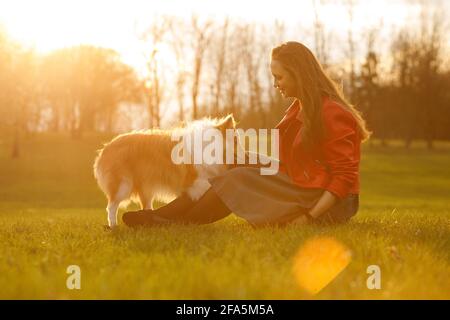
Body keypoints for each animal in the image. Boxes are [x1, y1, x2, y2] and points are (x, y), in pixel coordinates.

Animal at [94, 114, 239, 228]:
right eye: (237, 140)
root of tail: (105, 148)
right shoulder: (194, 182)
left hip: (146, 187)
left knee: (145, 206)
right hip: (123, 185)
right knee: (111, 206)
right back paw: (113, 226)